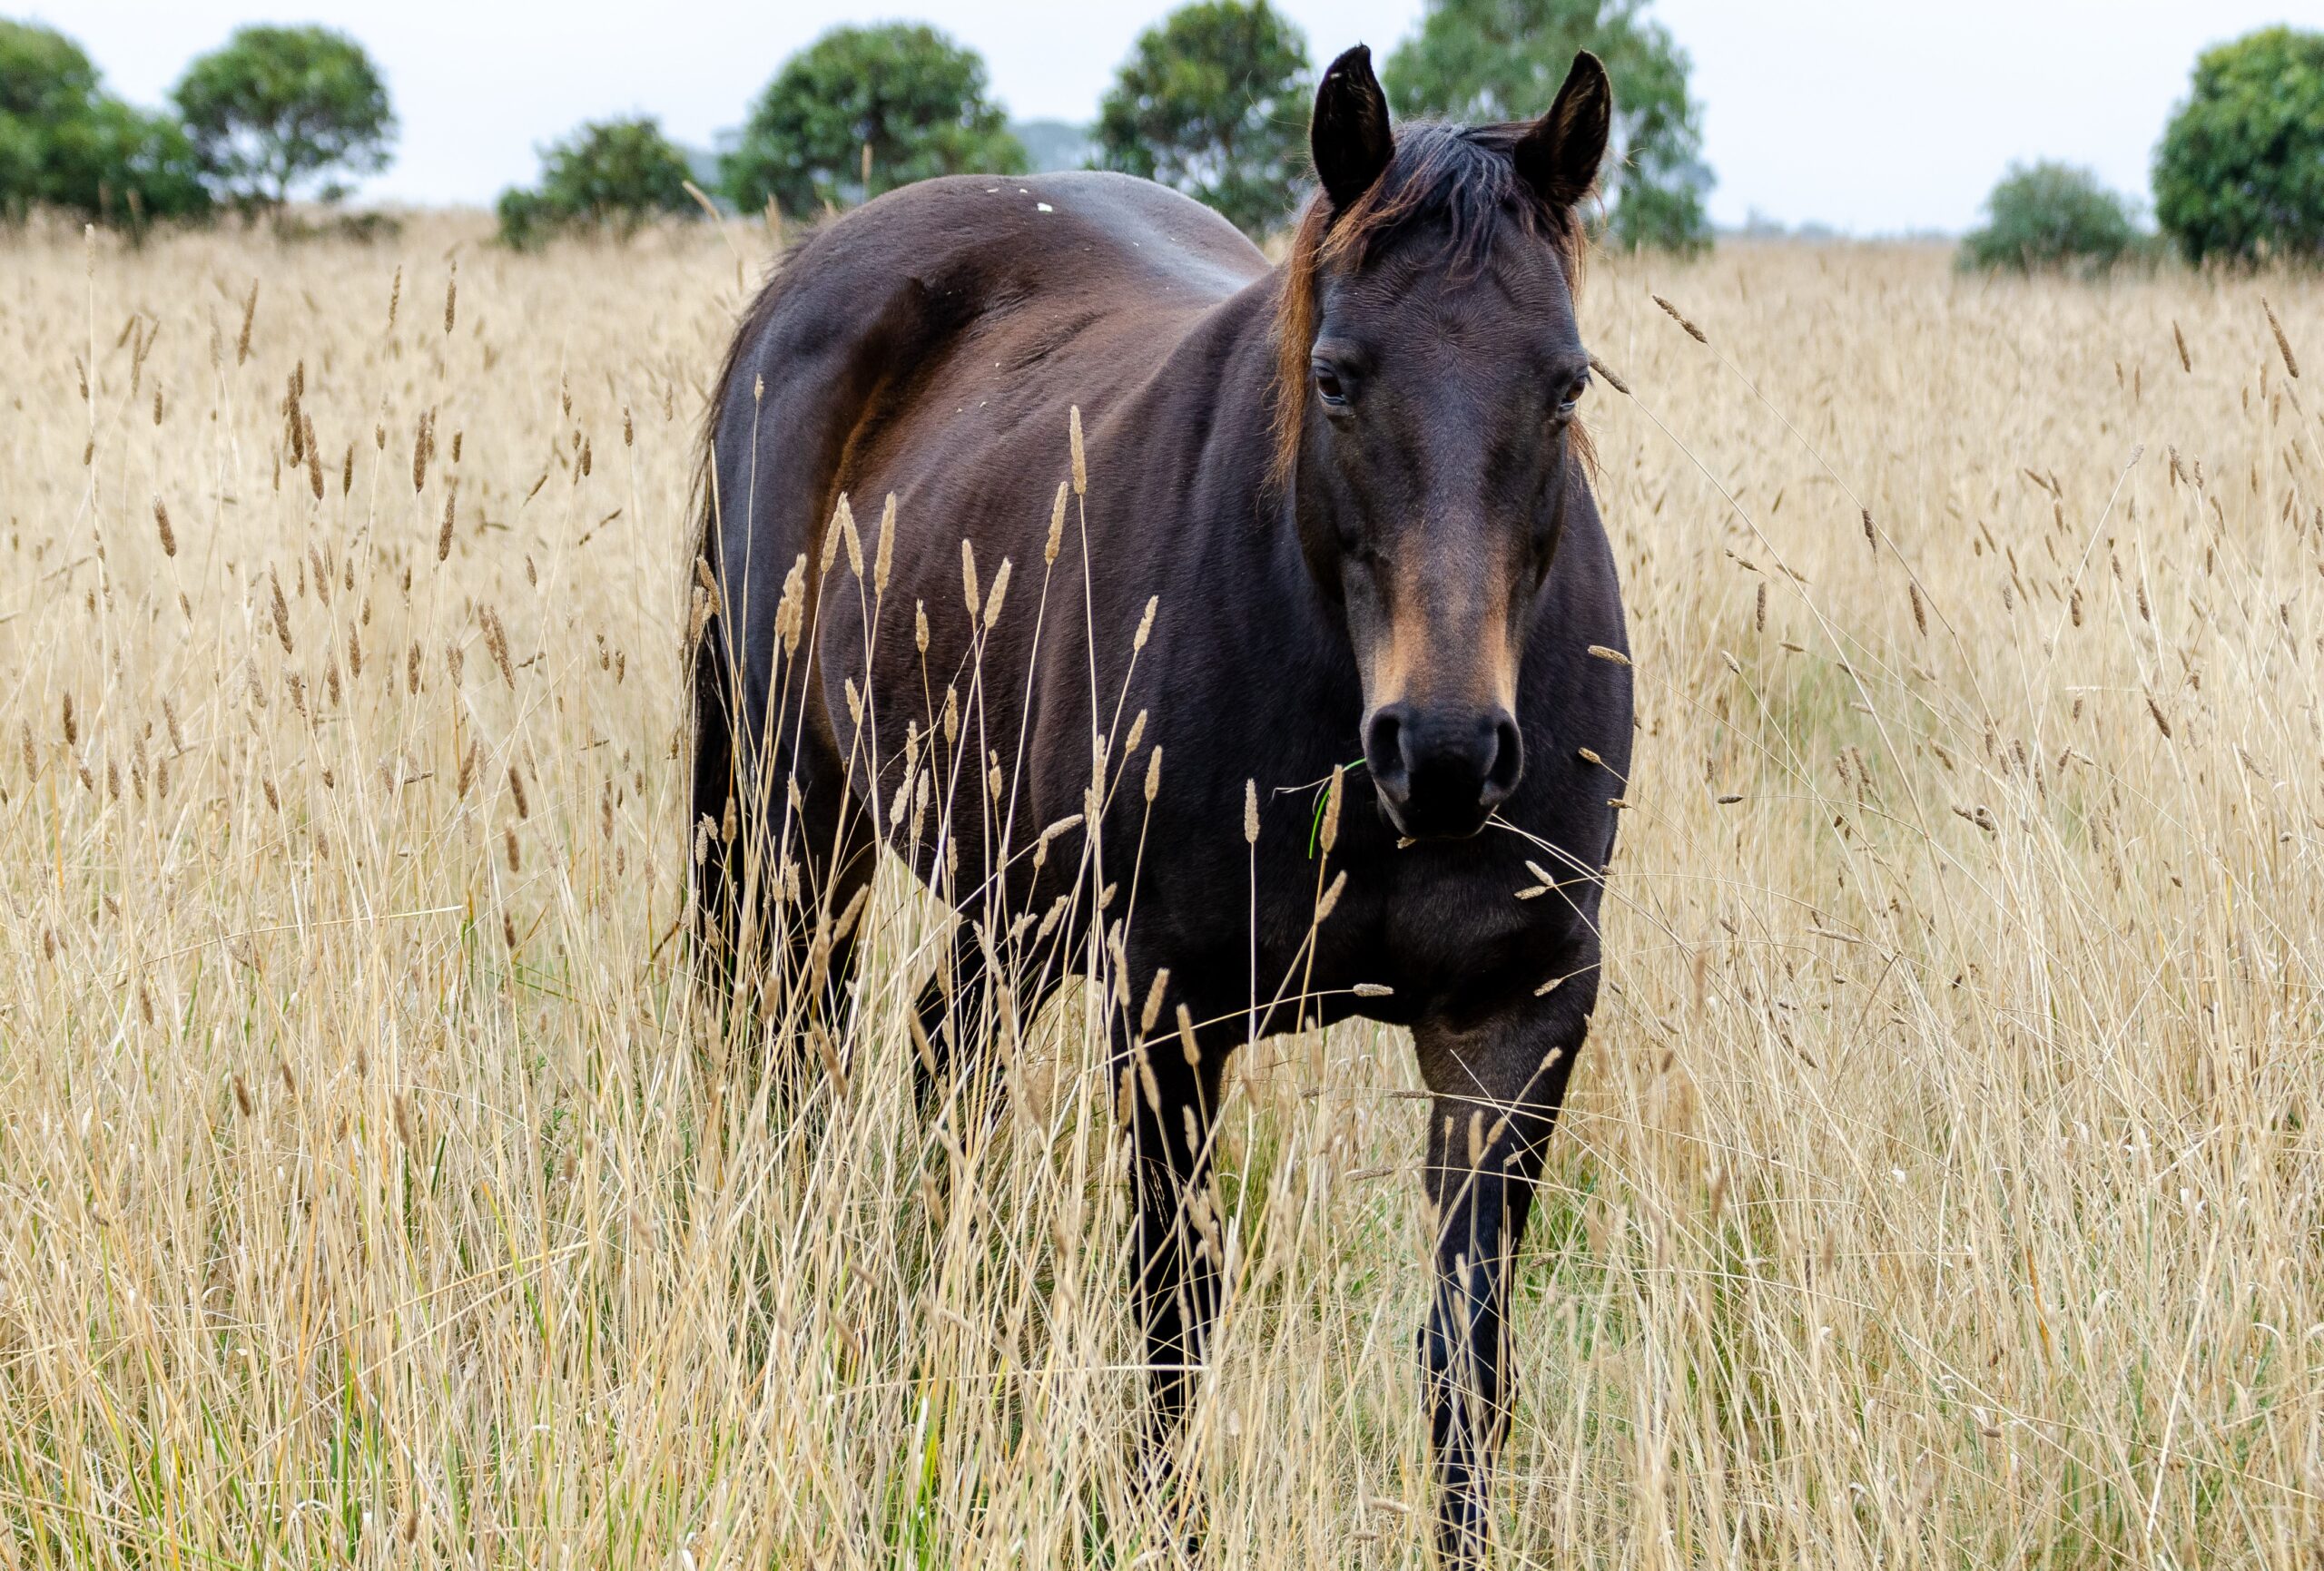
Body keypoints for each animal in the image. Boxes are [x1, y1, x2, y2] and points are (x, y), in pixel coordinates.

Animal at [692, 45, 1636, 1561]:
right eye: (1337, 378)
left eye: (1564, 386)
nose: (1443, 750)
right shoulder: (1170, 1012)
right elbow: (1176, 1307)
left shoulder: (1517, 1023)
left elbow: (1466, 1350)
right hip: (802, 821)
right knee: (799, 1061)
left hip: (1013, 902)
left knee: (944, 1069)